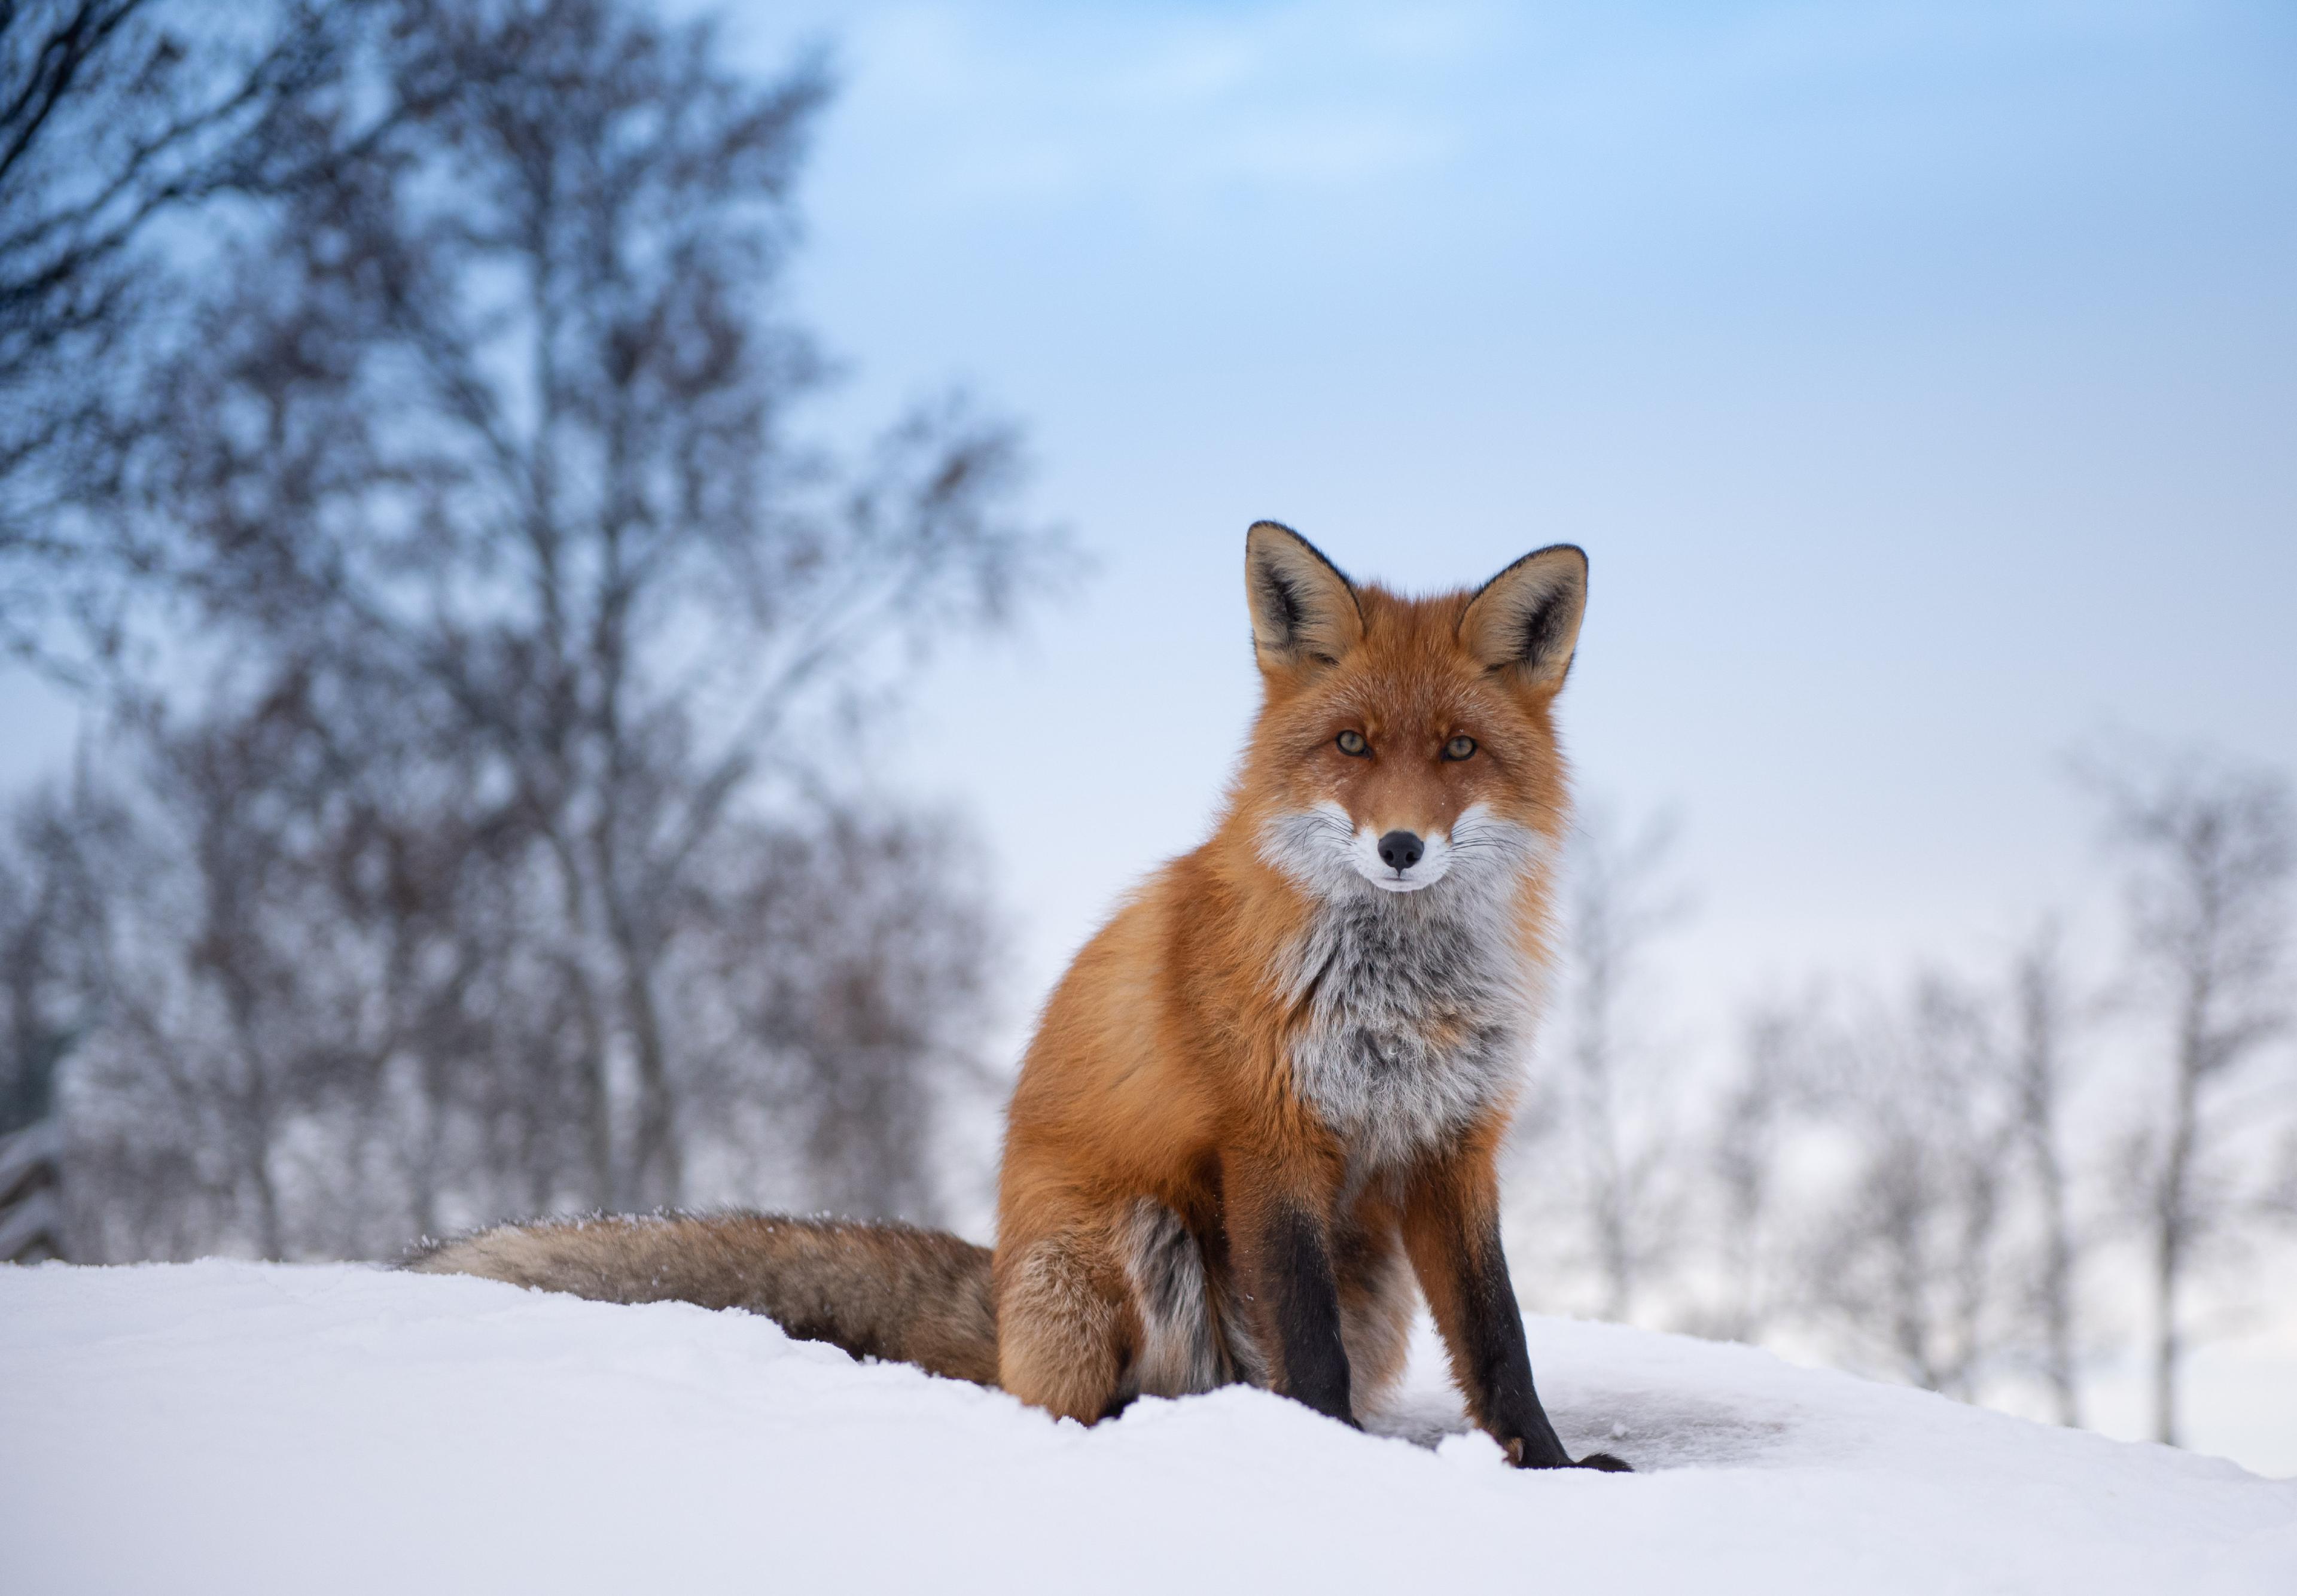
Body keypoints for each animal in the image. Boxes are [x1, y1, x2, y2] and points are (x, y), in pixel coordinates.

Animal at [409, 521, 1627, 1471]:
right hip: (1132, 1237)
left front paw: (1551, 1468)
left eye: (1459, 748)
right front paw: (1331, 1459)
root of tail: (1000, 1310)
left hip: (1364, 1277)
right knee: (1081, 1406)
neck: (1399, 996)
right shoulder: (1272, 1139)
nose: (1401, 847)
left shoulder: (1451, 1145)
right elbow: (1312, 1346)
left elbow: (1500, 1338)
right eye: (1352, 744)